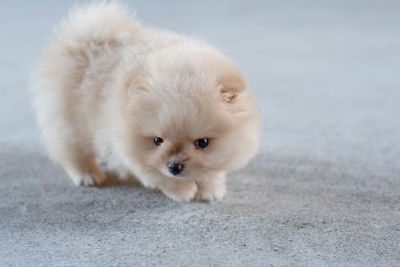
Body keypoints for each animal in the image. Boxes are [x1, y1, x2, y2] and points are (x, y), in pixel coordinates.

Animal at [30, 2, 260, 202]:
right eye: (157, 140)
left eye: (202, 142)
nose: (174, 166)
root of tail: (84, 38)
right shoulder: (132, 152)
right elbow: (159, 175)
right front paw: (184, 191)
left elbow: (211, 170)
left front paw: (211, 190)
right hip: (69, 121)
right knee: (72, 151)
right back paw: (88, 176)